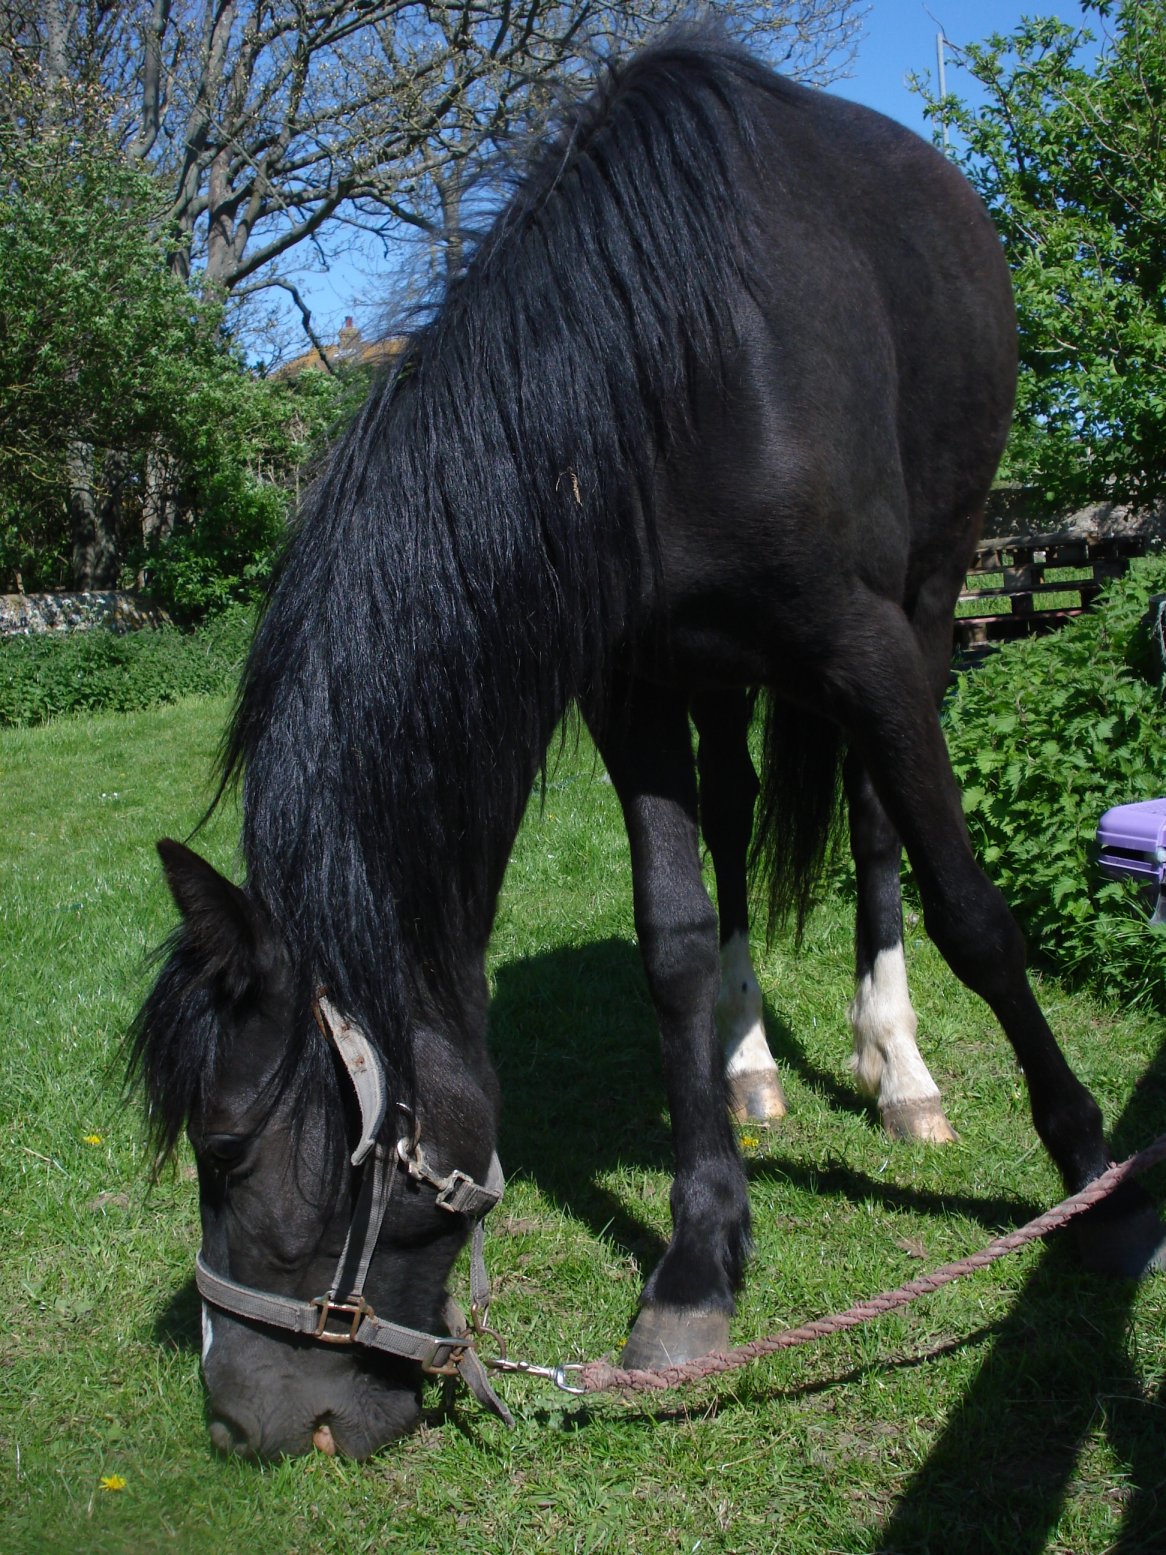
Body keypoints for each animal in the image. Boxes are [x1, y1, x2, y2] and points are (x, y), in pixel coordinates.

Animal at [131, 29, 1166, 1462]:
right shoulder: (628, 687)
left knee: (874, 821)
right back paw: (751, 1064)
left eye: (228, 1150)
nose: (240, 1422)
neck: (665, 368)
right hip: (717, 680)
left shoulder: (867, 646)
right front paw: (698, 1259)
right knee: (733, 816)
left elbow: (973, 913)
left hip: (927, 591)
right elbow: (669, 941)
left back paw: (894, 1068)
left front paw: (1092, 1176)